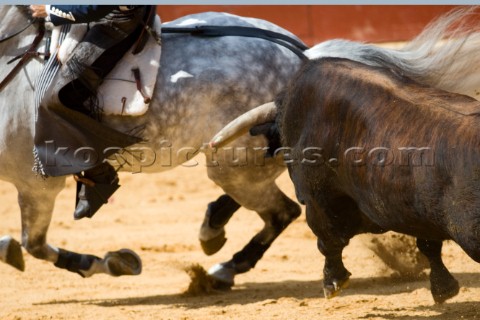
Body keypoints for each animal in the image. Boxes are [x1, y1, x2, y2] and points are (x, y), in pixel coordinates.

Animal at [213, 56, 480, 304]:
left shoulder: (317, 199)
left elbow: (328, 239)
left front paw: (333, 281)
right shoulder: (415, 210)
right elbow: (428, 244)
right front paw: (443, 288)